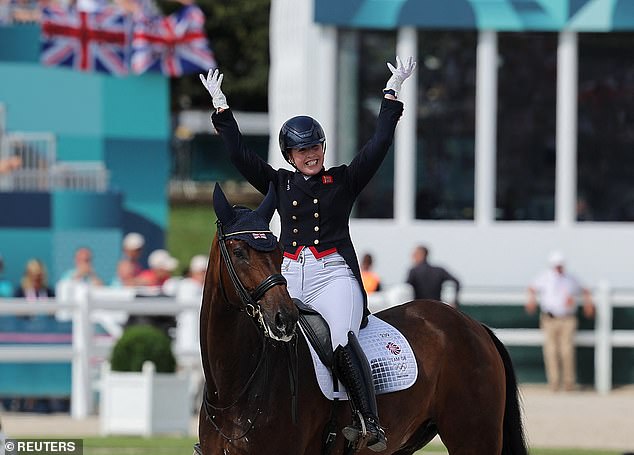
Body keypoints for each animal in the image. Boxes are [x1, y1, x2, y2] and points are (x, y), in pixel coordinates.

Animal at [200, 183, 524, 455]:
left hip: (474, 438)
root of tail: (473, 325)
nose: (284, 318)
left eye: (279, 252)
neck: (233, 389)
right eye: (239, 252)